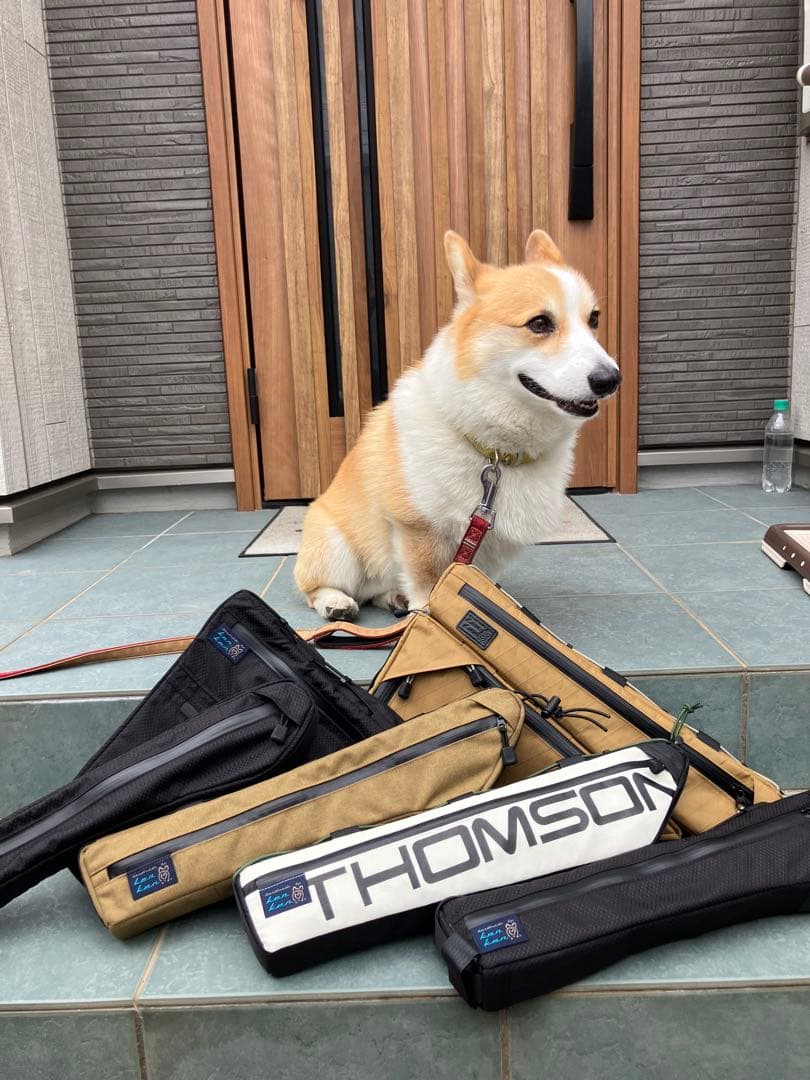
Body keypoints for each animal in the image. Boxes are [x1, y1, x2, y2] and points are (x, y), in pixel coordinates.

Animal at [294, 229, 620, 620]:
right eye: (539, 323)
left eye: (594, 319)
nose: (611, 380)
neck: (496, 452)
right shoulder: (419, 528)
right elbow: (426, 585)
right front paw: (424, 618)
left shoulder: (487, 545)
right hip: (335, 546)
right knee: (318, 586)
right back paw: (336, 602)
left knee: (375, 591)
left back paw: (392, 598)